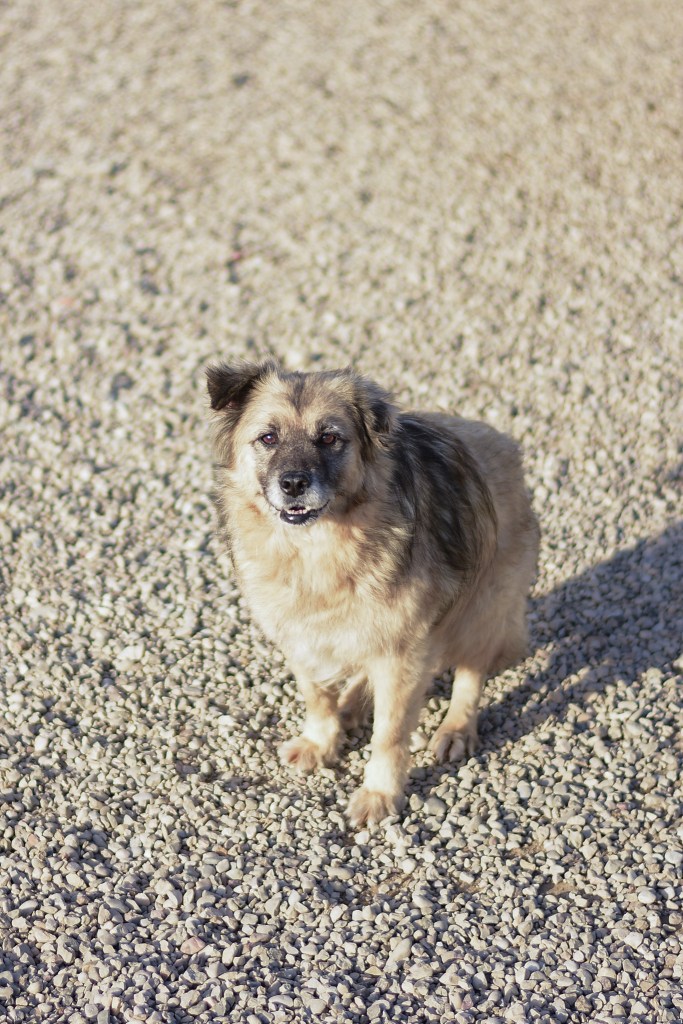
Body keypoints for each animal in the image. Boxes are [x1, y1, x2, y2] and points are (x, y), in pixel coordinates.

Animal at [207, 359, 539, 826]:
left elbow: (390, 733)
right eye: (268, 437)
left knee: (471, 672)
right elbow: (317, 698)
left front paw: (380, 793)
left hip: (483, 604)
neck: (317, 550)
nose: (293, 483)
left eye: (329, 438)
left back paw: (455, 728)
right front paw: (320, 742)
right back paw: (352, 705)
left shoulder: (403, 650)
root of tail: (506, 445)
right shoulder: (301, 635)